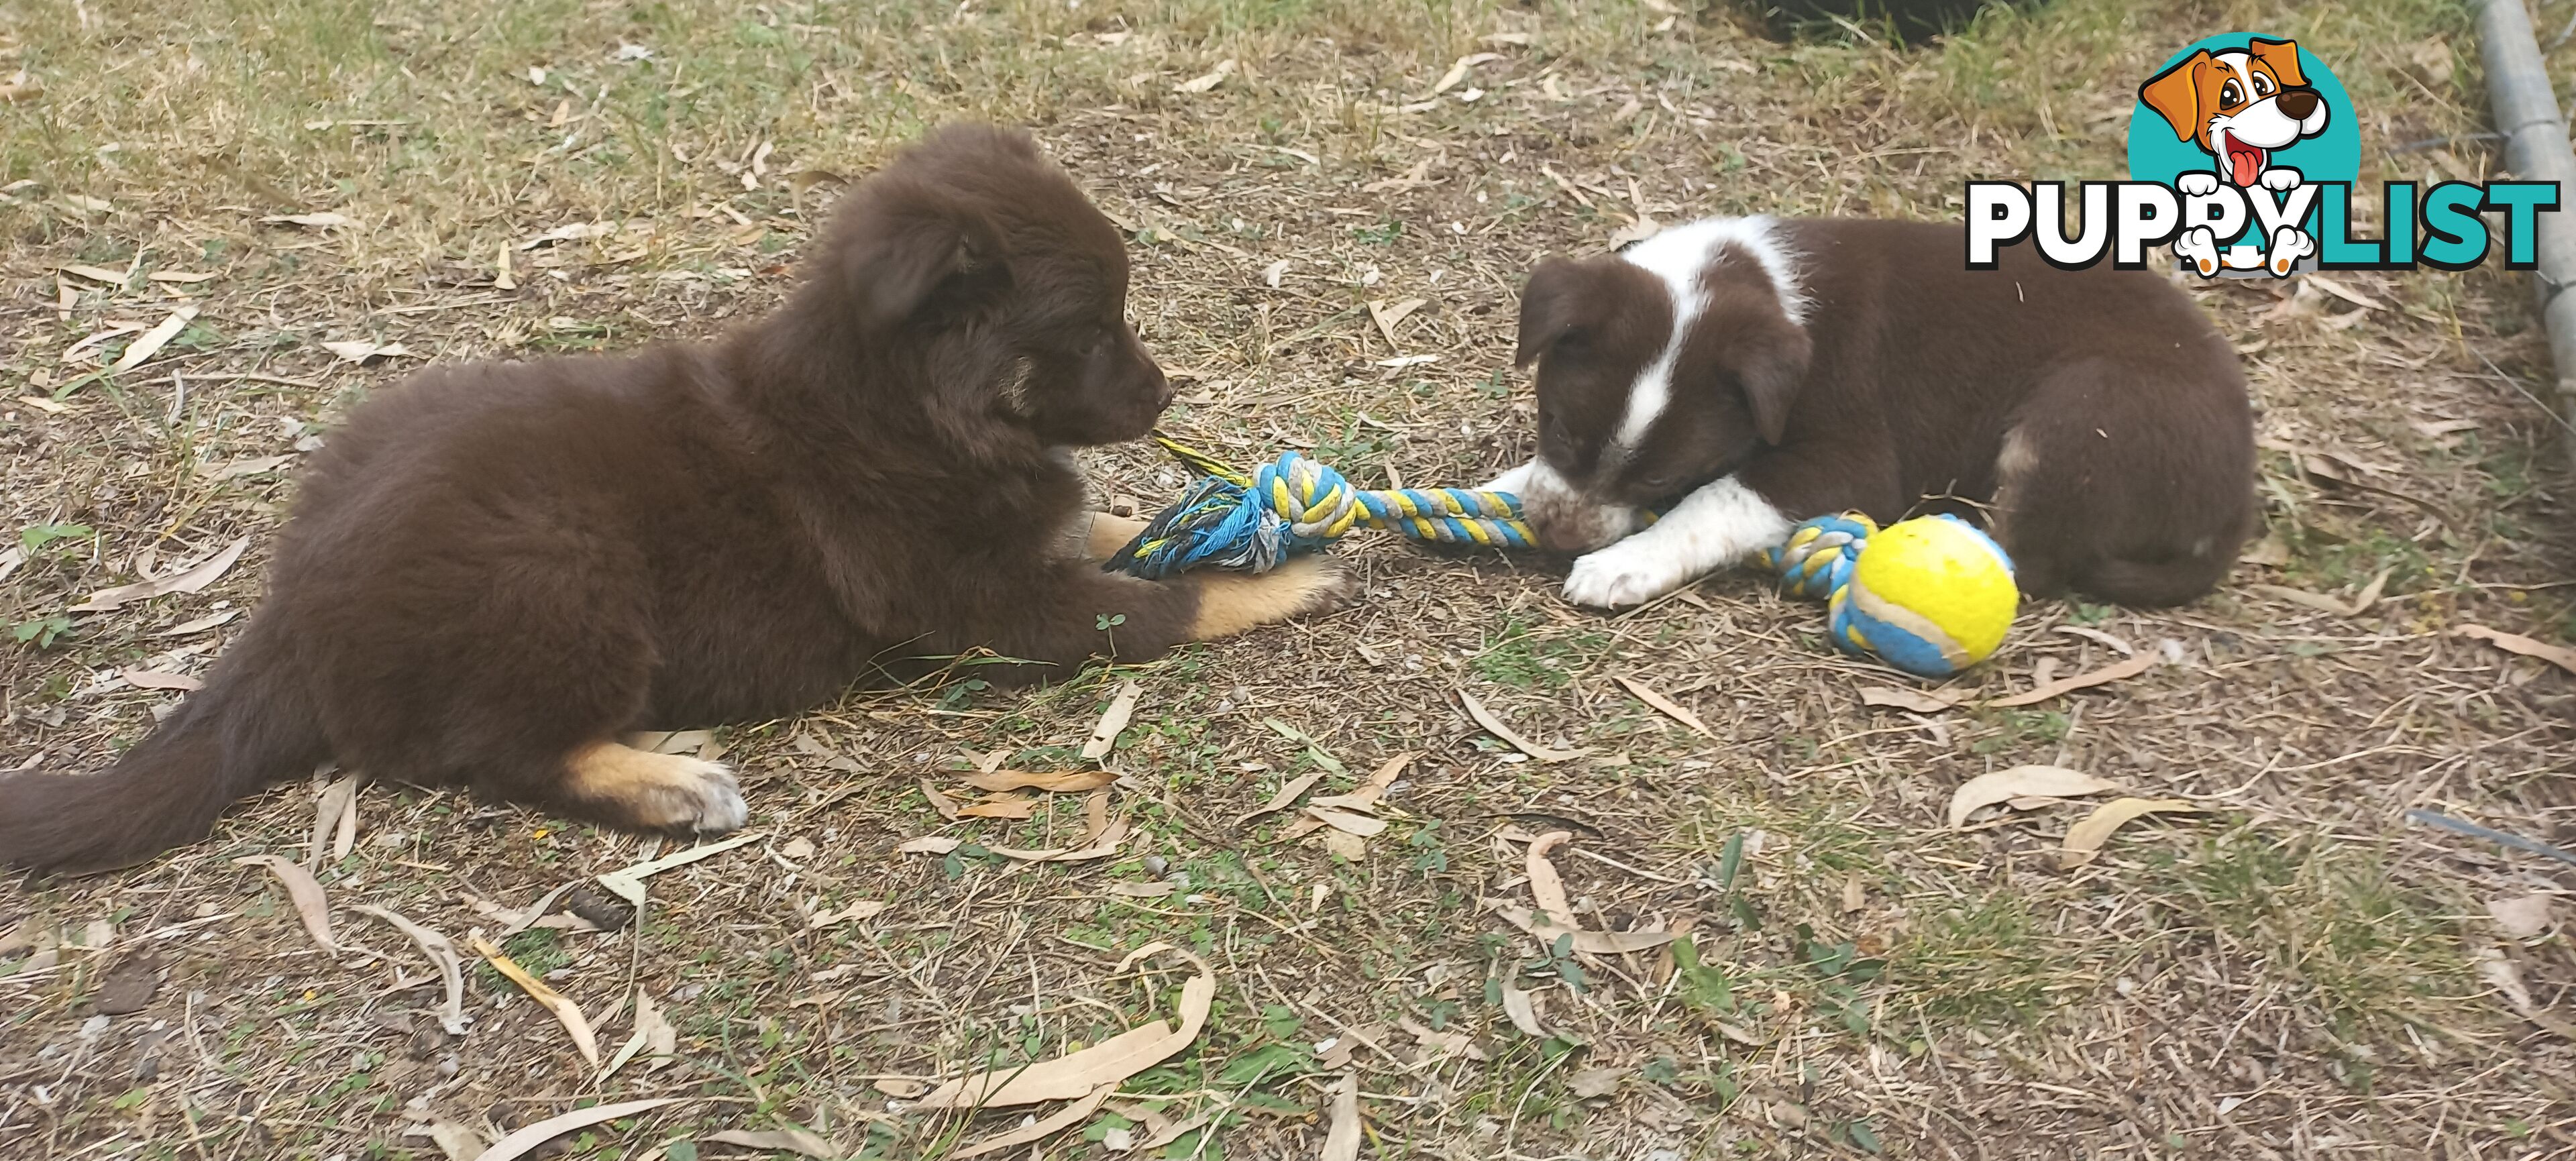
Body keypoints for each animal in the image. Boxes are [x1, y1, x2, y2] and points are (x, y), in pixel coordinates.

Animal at [5, 125, 1350, 875]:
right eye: (1092, 328)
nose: (1167, 391)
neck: (897, 407)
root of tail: (290, 604)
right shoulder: (987, 610)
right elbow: (1153, 608)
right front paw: (1290, 576)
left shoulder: (1027, 541)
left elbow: (1114, 535)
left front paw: (1223, 525)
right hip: (559, 568)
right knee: (498, 752)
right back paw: (666, 781)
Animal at [1494, 216, 2256, 610]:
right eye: (1557, 425)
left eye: (1660, 480)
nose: (1558, 537)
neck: (1764, 282)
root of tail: (2236, 500)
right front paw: (1505, 485)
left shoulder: (1855, 458)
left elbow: (1720, 499)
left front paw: (1625, 563)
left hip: (2080, 411)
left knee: (2030, 562)